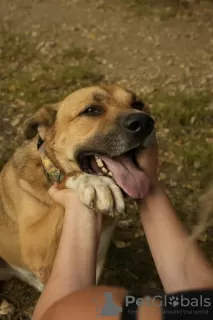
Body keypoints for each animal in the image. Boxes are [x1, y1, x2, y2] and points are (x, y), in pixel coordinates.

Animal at [0, 84, 154, 292]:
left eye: (137, 104)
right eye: (91, 110)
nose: (145, 122)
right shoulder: (35, 246)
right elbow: (66, 178)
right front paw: (93, 182)